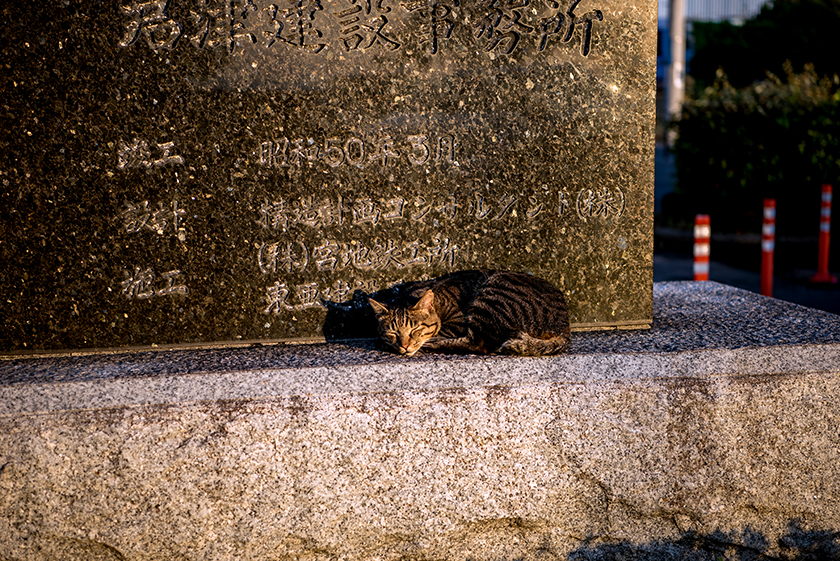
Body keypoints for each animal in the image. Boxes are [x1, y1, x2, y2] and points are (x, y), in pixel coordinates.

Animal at [368, 270, 572, 356]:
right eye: (393, 332)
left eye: (415, 330)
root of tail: (565, 327)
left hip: (492, 295)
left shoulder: (457, 322)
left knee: (478, 343)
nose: (404, 346)